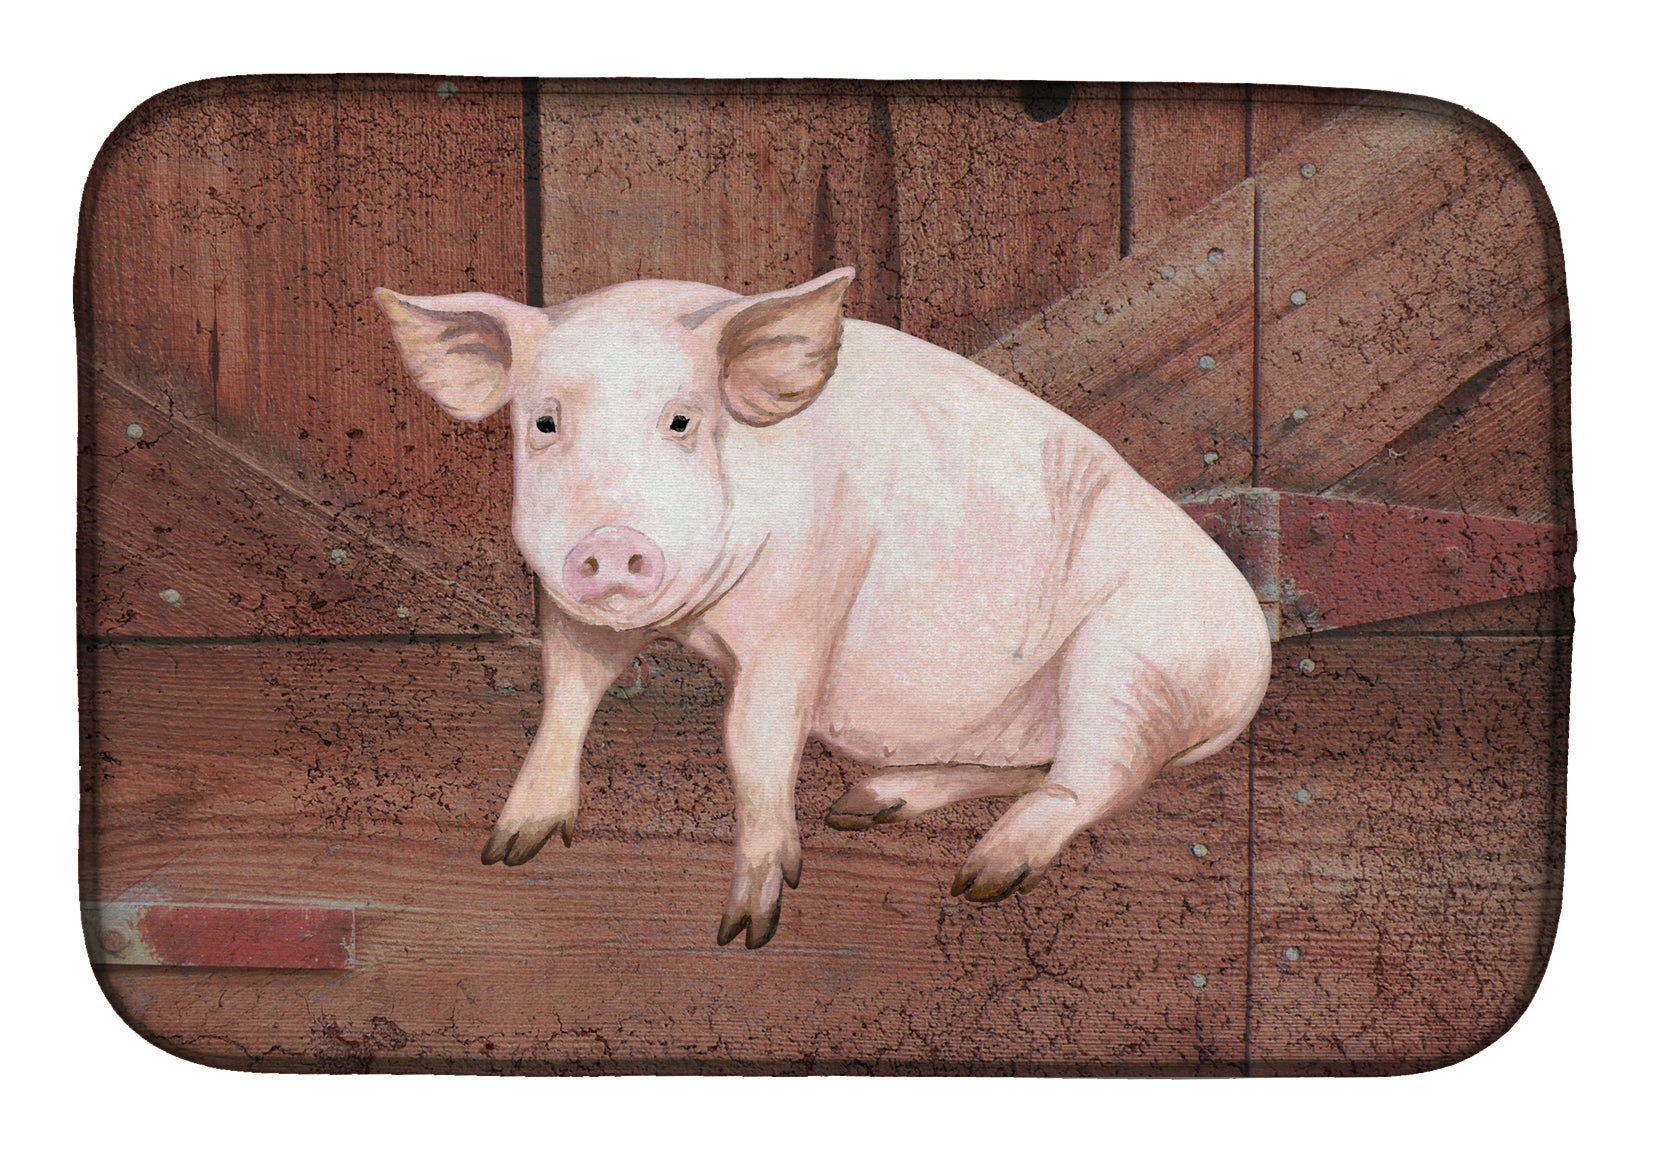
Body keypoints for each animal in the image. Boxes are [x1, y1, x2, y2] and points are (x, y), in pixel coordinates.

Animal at [374, 268, 1271, 949]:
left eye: (682, 420)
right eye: (544, 421)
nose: (612, 542)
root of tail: (1255, 659)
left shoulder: (813, 591)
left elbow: (755, 736)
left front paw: (746, 928)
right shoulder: (573, 609)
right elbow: (566, 694)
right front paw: (507, 849)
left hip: (1135, 659)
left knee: (1098, 779)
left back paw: (981, 876)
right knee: (1046, 766)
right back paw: (867, 805)